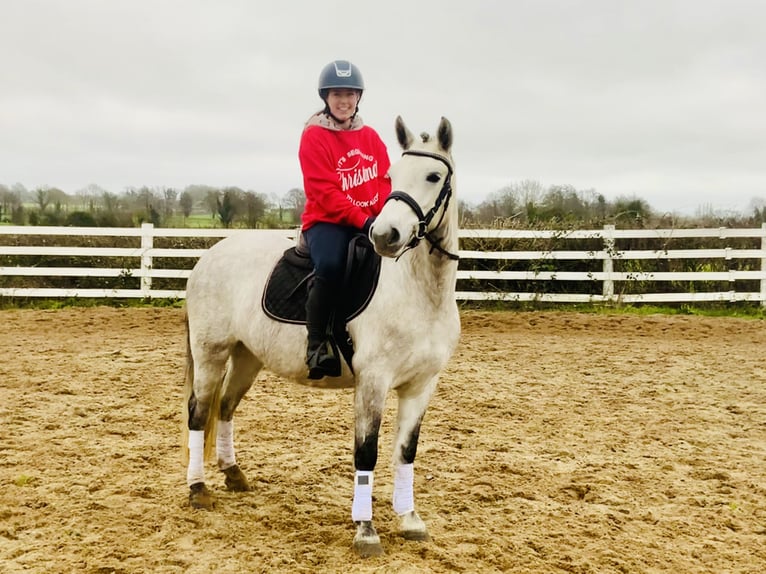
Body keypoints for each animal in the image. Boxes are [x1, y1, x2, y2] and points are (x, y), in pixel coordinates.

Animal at [182, 116, 462, 560]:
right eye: (392, 176)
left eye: (433, 176)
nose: (385, 235)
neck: (420, 291)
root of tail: (208, 256)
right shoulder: (373, 382)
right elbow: (366, 452)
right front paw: (365, 530)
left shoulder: (422, 385)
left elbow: (406, 451)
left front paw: (410, 520)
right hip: (211, 352)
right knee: (199, 412)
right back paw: (198, 489)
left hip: (247, 356)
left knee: (225, 407)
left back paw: (233, 474)